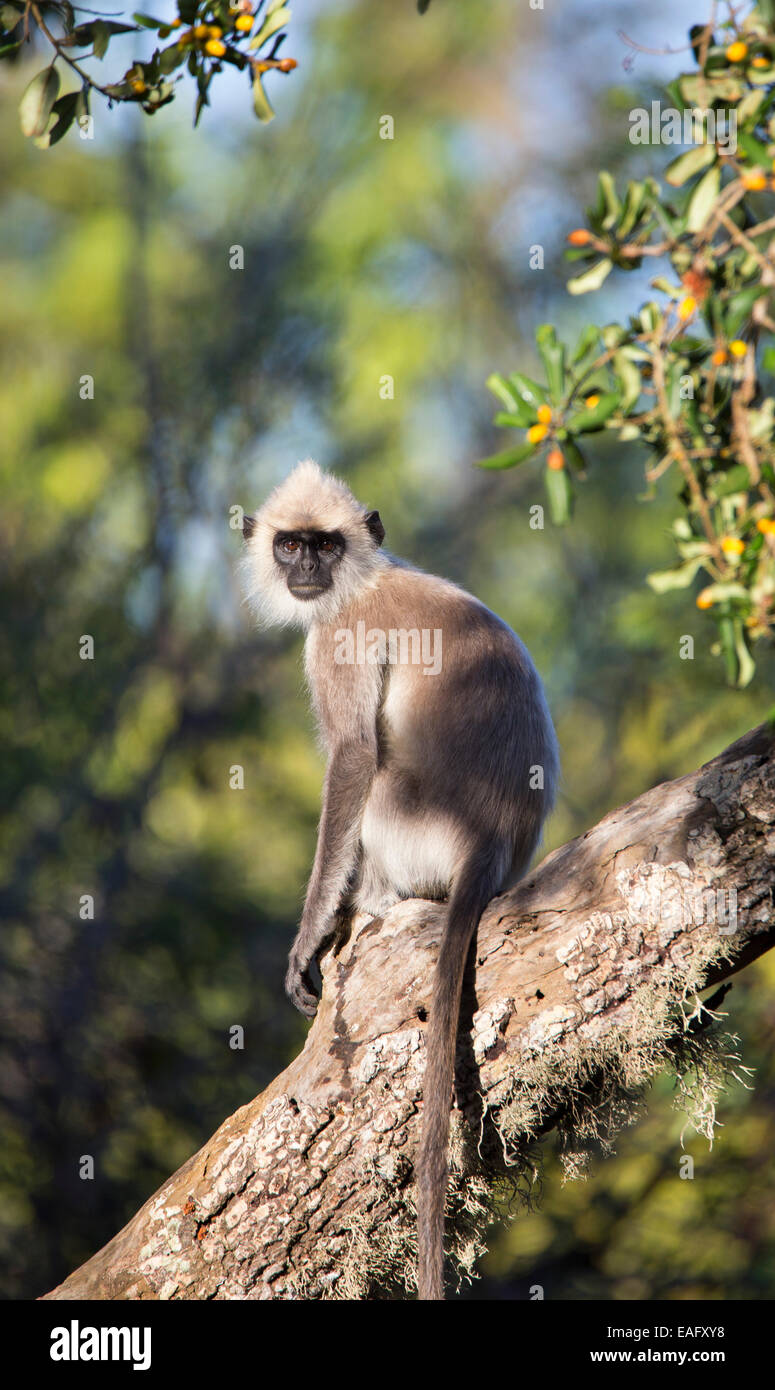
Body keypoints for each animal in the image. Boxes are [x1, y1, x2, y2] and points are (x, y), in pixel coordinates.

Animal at [241, 461, 558, 1295]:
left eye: (323, 545)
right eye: (290, 545)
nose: (307, 570)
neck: (363, 578)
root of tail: (488, 844)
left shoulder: (337, 637)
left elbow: (352, 754)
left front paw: (308, 938)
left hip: (410, 821)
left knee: (375, 772)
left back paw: (371, 907)